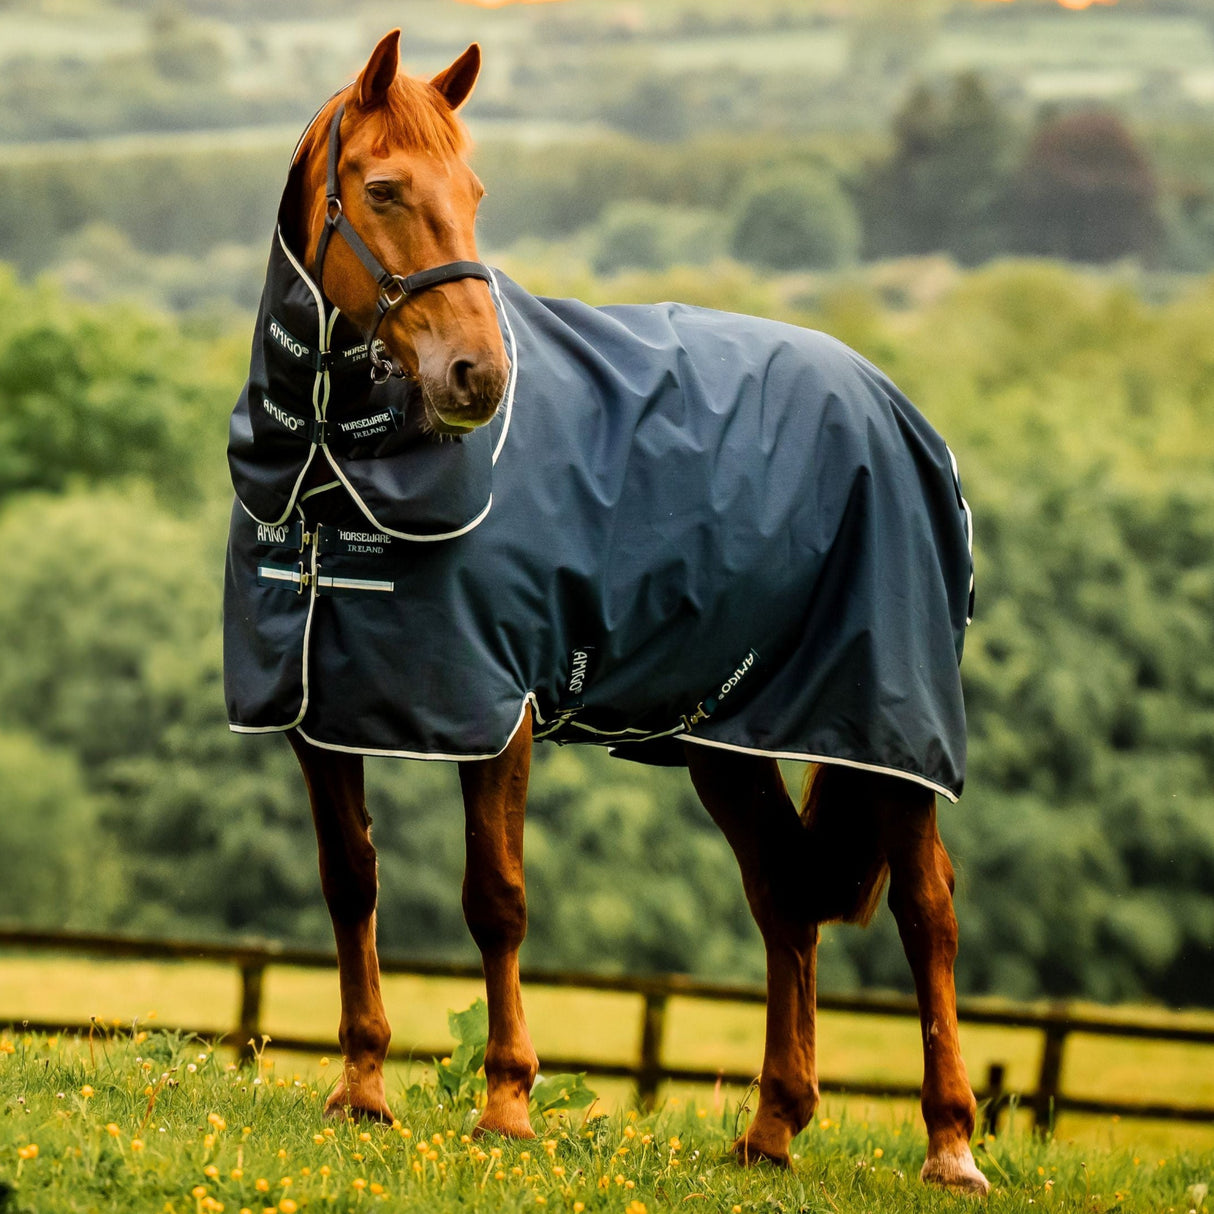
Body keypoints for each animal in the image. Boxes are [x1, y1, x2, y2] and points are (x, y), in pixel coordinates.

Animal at [223, 30, 989, 1195]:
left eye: (475, 193)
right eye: (385, 189)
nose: (478, 377)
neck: (329, 477)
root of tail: (898, 410)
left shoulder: (496, 712)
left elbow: (494, 897)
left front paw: (505, 1104)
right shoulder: (320, 713)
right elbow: (349, 882)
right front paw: (360, 1089)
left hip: (886, 729)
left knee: (926, 911)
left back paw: (949, 1145)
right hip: (728, 737)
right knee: (783, 896)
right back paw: (771, 1128)